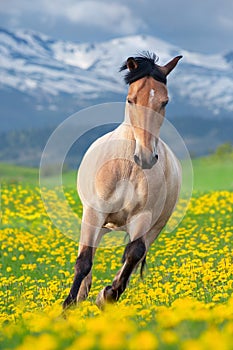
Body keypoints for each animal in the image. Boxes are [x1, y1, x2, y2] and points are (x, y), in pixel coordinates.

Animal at [62, 51, 183, 308]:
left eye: (165, 102)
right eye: (131, 100)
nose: (145, 157)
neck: (127, 167)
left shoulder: (143, 217)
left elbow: (134, 253)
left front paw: (107, 295)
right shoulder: (95, 212)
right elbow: (84, 260)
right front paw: (66, 308)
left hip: (154, 226)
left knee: (134, 256)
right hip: (97, 222)